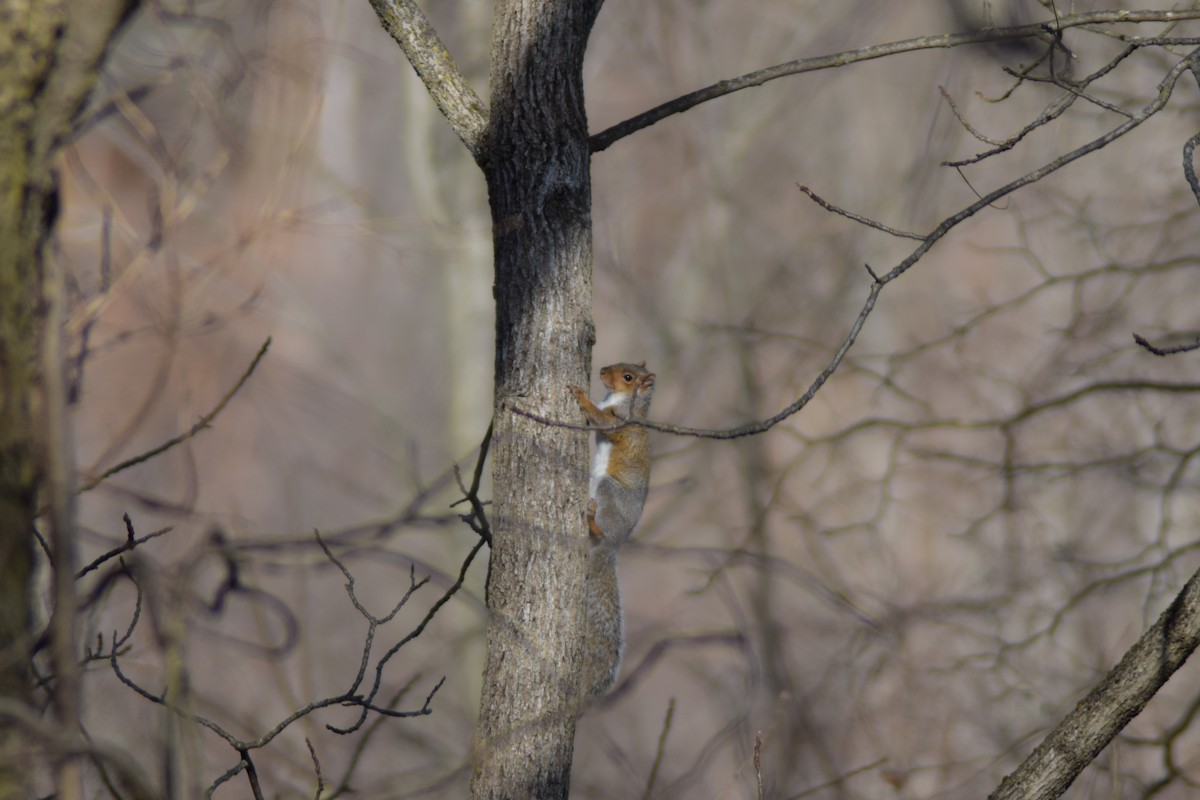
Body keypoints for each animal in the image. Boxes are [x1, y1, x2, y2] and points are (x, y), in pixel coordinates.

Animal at [568, 361, 655, 699]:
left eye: (628, 377)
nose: (602, 370)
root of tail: (615, 544)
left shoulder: (620, 423)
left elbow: (601, 420)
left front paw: (582, 396)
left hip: (606, 490)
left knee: (601, 531)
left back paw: (593, 521)